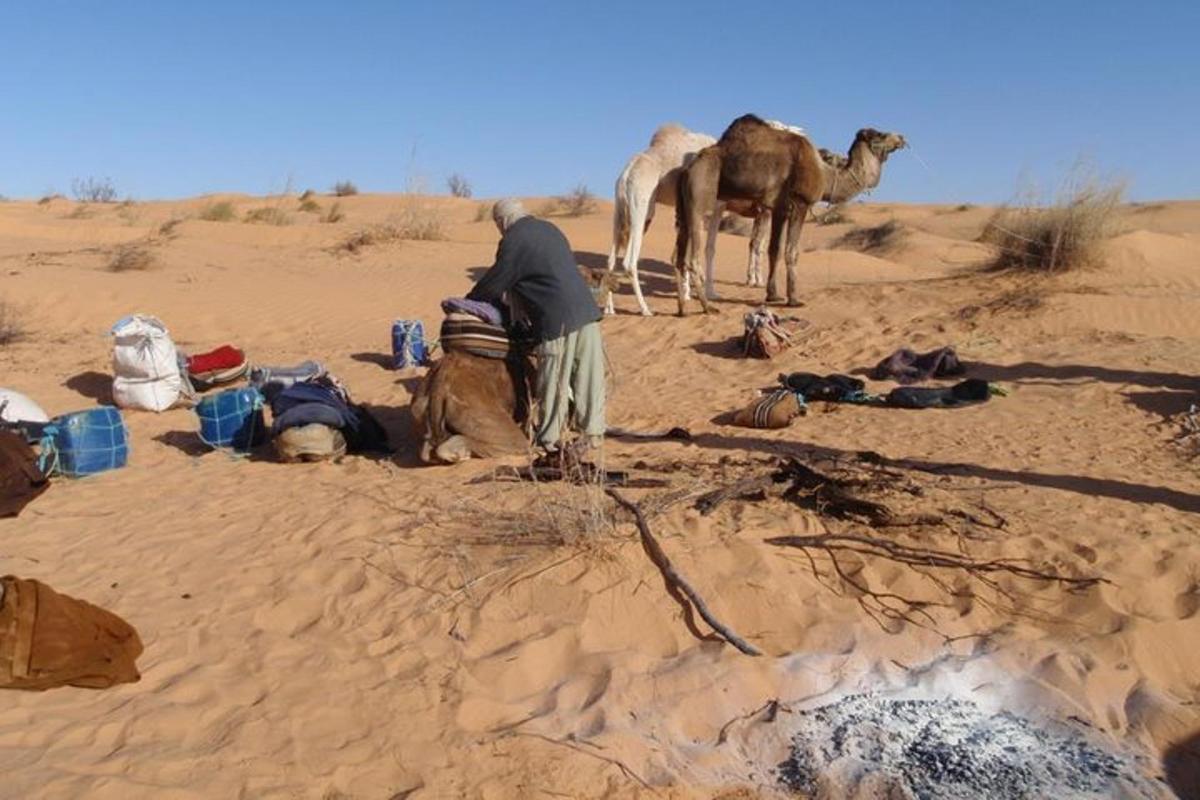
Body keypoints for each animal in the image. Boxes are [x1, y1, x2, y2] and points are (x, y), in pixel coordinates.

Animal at [676, 115, 907, 311]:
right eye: (880, 134)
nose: (902, 138)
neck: (825, 173)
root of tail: (688, 168)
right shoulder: (799, 203)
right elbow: (791, 251)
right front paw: (793, 299)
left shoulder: (779, 208)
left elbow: (774, 249)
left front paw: (772, 295)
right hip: (701, 195)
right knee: (694, 254)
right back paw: (707, 306)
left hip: (687, 204)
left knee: (681, 254)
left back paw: (684, 308)